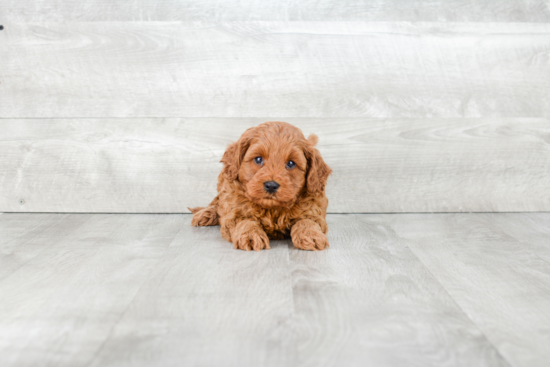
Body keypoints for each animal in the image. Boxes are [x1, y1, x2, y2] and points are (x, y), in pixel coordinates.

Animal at [192, 122, 332, 252]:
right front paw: (250, 235)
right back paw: (205, 214)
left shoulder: (313, 209)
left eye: (291, 163)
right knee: (217, 203)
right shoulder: (233, 208)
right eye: (258, 159)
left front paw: (311, 234)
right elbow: (244, 221)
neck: (272, 209)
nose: (271, 185)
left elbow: (307, 221)